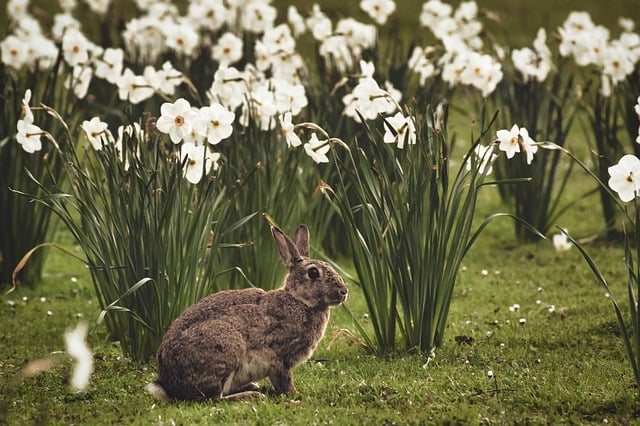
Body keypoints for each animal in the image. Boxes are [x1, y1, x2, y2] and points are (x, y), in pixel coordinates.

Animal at [147, 225, 348, 402]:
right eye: (313, 272)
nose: (344, 291)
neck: (298, 300)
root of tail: (170, 386)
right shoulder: (279, 357)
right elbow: (284, 379)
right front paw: (295, 395)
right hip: (226, 347)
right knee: (213, 398)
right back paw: (251, 395)